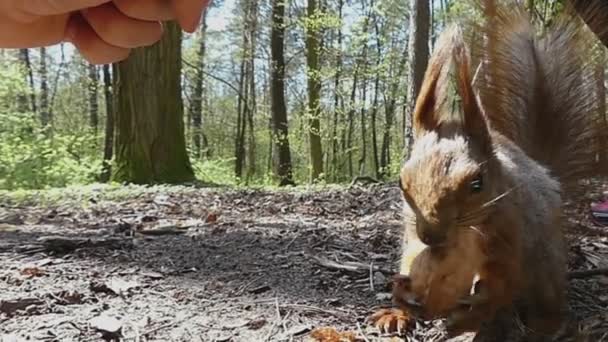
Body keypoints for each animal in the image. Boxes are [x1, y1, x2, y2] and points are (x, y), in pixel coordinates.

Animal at [366, 1, 604, 340]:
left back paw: (545, 324)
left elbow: (506, 280)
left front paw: (472, 314)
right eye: (402, 182)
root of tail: (545, 172)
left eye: (477, 183)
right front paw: (400, 299)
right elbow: (412, 255)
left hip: (546, 260)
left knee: (544, 295)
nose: (431, 236)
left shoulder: (512, 228)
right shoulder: (412, 228)